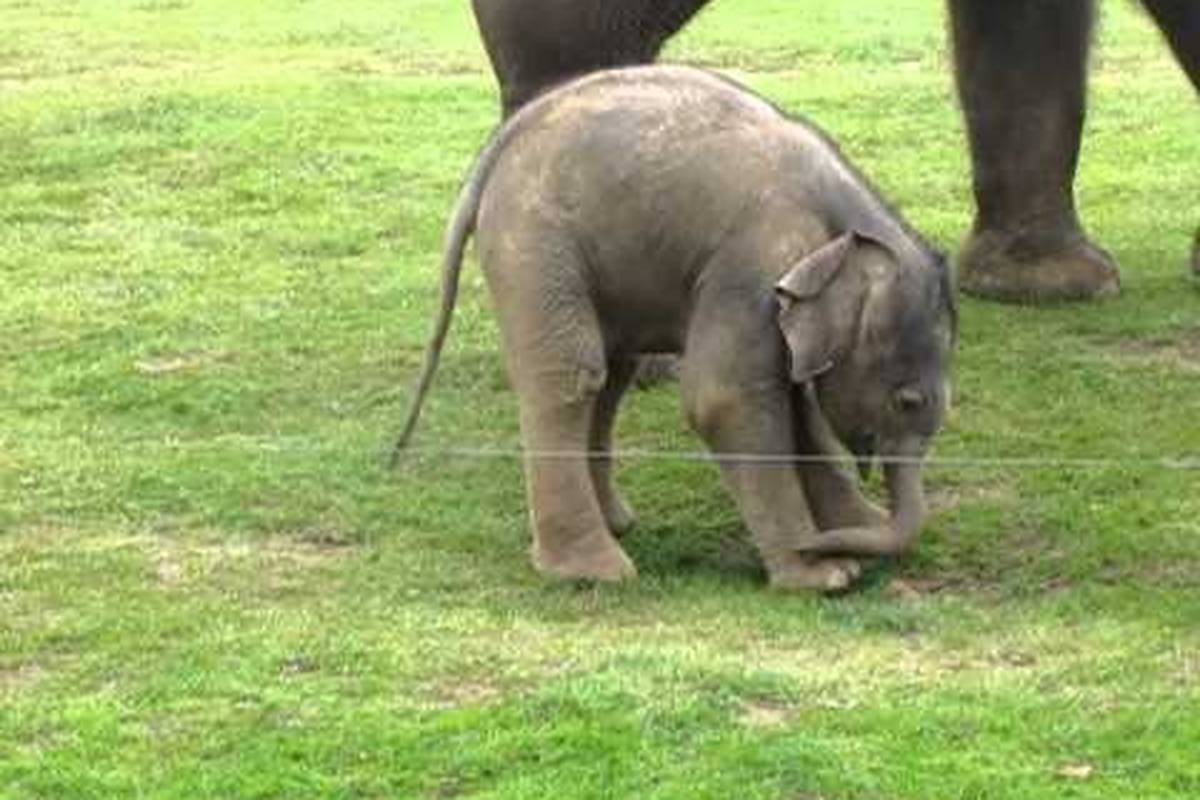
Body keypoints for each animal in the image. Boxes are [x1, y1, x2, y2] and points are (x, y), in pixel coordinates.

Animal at [400, 65, 955, 592]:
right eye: (908, 401)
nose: (825, 545)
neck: (847, 219)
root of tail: (492, 154)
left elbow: (795, 402)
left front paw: (850, 536)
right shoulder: (753, 262)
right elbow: (724, 398)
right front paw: (826, 577)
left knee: (611, 377)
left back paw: (617, 525)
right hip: (534, 240)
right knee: (572, 375)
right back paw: (594, 571)